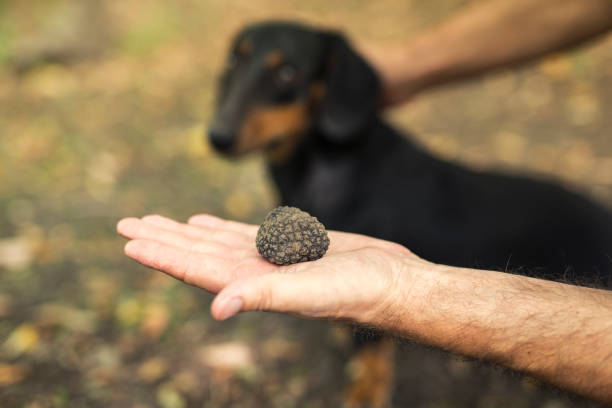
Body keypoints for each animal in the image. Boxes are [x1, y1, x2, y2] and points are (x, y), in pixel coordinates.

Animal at [208, 21, 612, 404]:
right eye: (232, 62)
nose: (217, 137)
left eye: (288, 73)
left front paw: (365, 391)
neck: (327, 163)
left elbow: (369, 350)